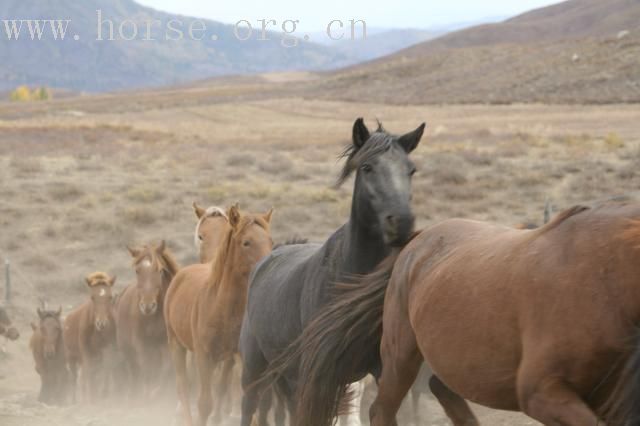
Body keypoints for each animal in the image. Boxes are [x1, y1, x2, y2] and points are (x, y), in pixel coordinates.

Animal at [64, 272, 117, 402]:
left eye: (110, 297)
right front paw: (92, 398)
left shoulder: (109, 350)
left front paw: (104, 394)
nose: (101, 323)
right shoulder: (86, 353)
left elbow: (106, 371)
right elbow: (89, 375)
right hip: (72, 358)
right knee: (74, 379)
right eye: (92, 297)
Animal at [115, 241, 179, 398]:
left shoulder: (165, 346)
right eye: (137, 271)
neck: (153, 319)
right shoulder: (142, 346)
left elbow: (165, 371)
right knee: (135, 374)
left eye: (160, 270)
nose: (148, 306)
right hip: (128, 354)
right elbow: (146, 372)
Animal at [165, 204, 272, 426]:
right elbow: (205, 403)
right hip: (176, 344)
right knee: (183, 387)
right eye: (246, 242)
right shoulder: (204, 357)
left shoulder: (237, 357)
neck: (221, 306)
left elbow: (239, 398)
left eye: (270, 241)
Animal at [240, 117, 424, 426]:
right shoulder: (320, 377)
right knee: (249, 408)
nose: (401, 222)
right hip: (256, 371)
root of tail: (267, 260)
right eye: (367, 167)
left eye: (410, 170)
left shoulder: (381, 372)